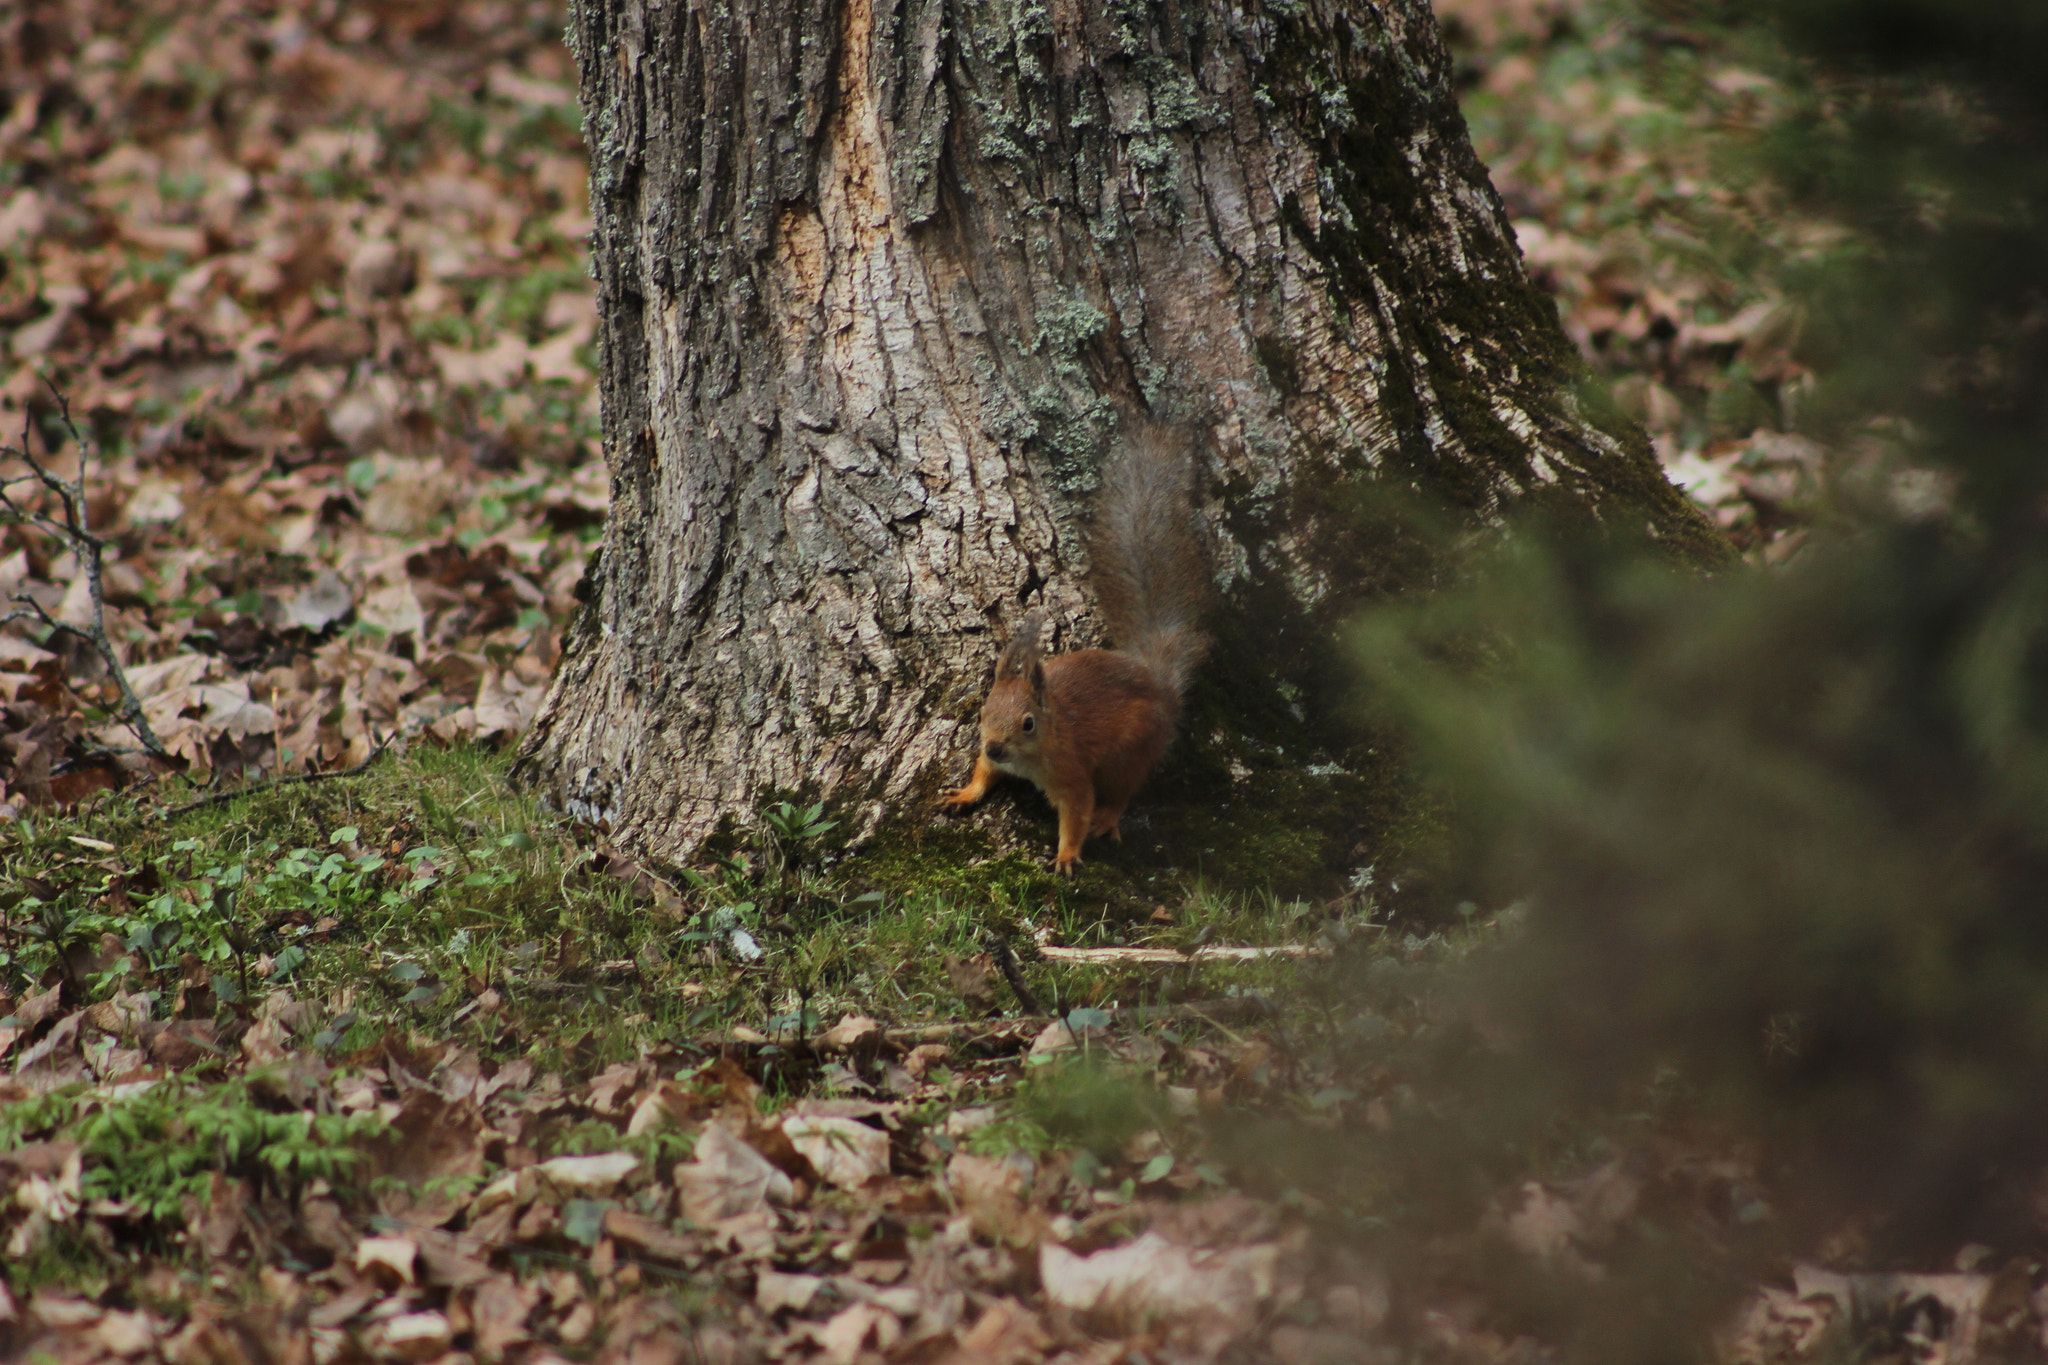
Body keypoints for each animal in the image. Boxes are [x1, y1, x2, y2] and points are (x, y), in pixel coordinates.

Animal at [940, 427, 1211, 874]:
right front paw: (966, 793)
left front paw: (1066, 855)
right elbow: (983, 772)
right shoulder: (993, 758)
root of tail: (1162, 690)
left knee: (1122, 790)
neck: (1032, 751)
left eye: (1028, 723)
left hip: (1129, 752)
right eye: (983, 713)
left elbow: (1078, 809)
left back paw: (1109, 817)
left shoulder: (1070, 771)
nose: (995, 745)